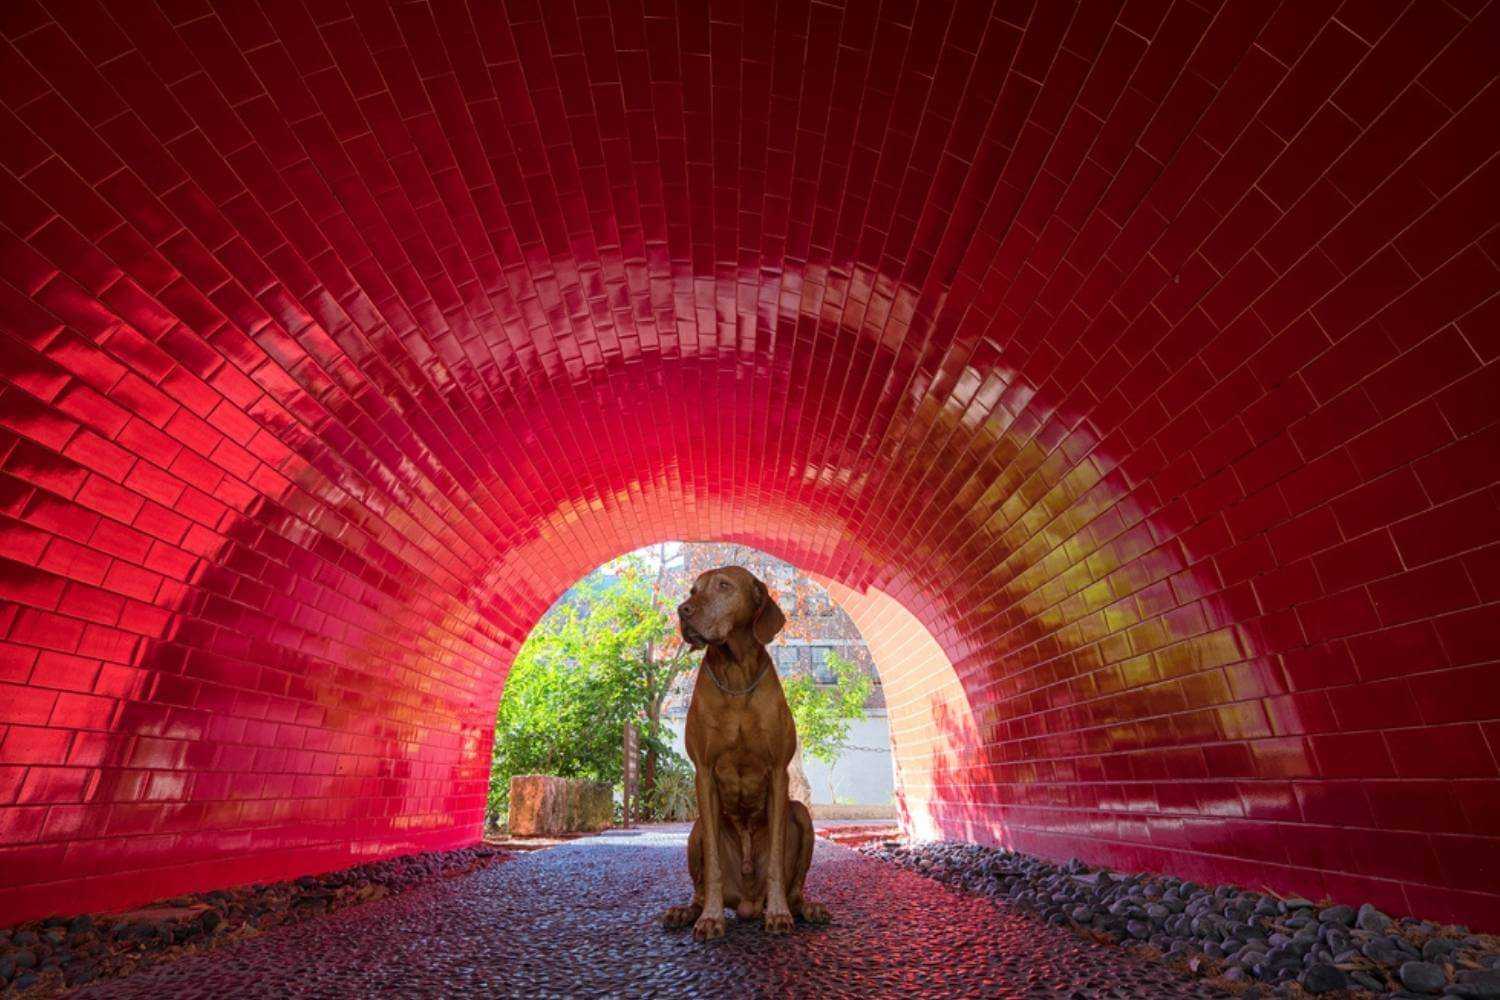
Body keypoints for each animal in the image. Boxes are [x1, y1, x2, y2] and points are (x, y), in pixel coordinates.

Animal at [669, 566, 834, 941]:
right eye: (693, 590)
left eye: (724, 586)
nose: (683, 610)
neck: (736, 675)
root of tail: (747, 903)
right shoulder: (704, 773)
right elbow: (713, 865)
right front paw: (711, 918)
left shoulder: (778, 772)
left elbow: (775, 859)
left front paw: (779, 914)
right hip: (696, 828)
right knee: (699, 888)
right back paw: (687, 911)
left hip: (801, 814)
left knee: (795, 887)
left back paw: (805, 908)